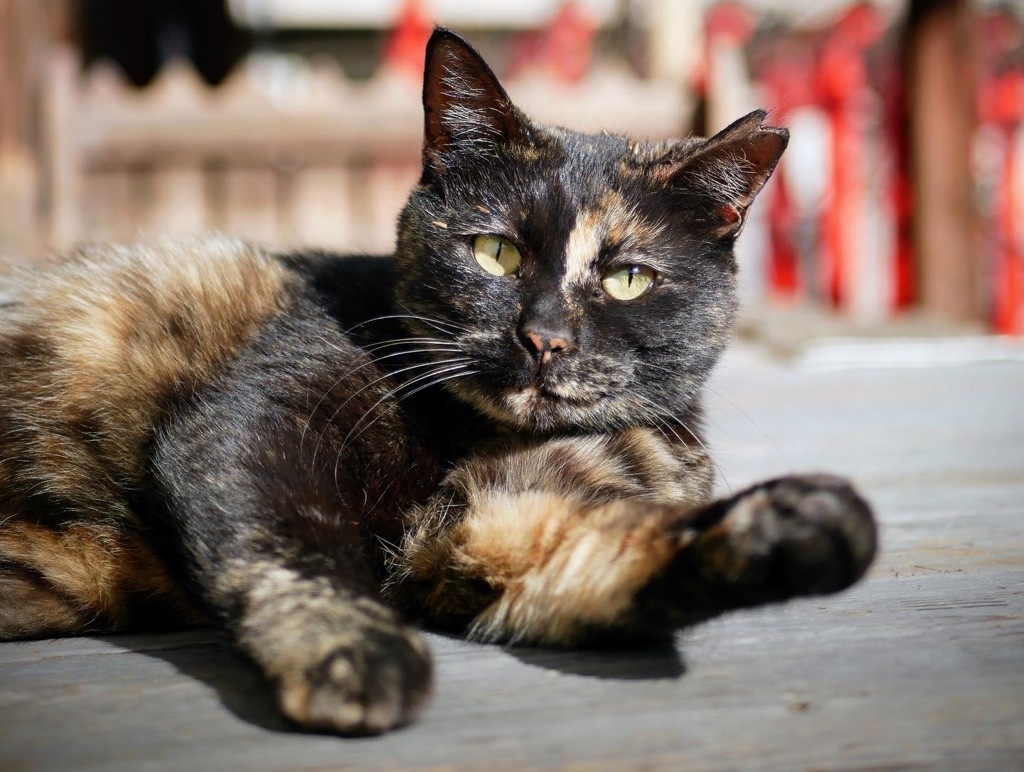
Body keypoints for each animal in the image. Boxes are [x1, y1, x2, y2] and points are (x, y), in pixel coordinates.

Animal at [2, 30, 872, 733]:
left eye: (628, 278)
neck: (479, 434)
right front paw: (354, 654)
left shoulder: (503, 530)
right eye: (497, 252)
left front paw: (803, 524)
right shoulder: (258, 421)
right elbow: (294, 546)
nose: (544, 339)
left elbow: (616, 554)